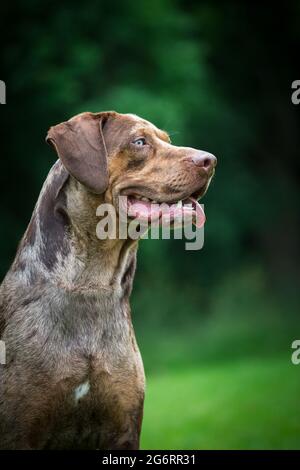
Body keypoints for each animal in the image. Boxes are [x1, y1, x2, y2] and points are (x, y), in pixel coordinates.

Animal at [0, 112, 217, 450]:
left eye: (167, 140)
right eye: (139, 141)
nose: (210, 160)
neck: (92, 287)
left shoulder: (123, 429)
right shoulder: (20, 430)